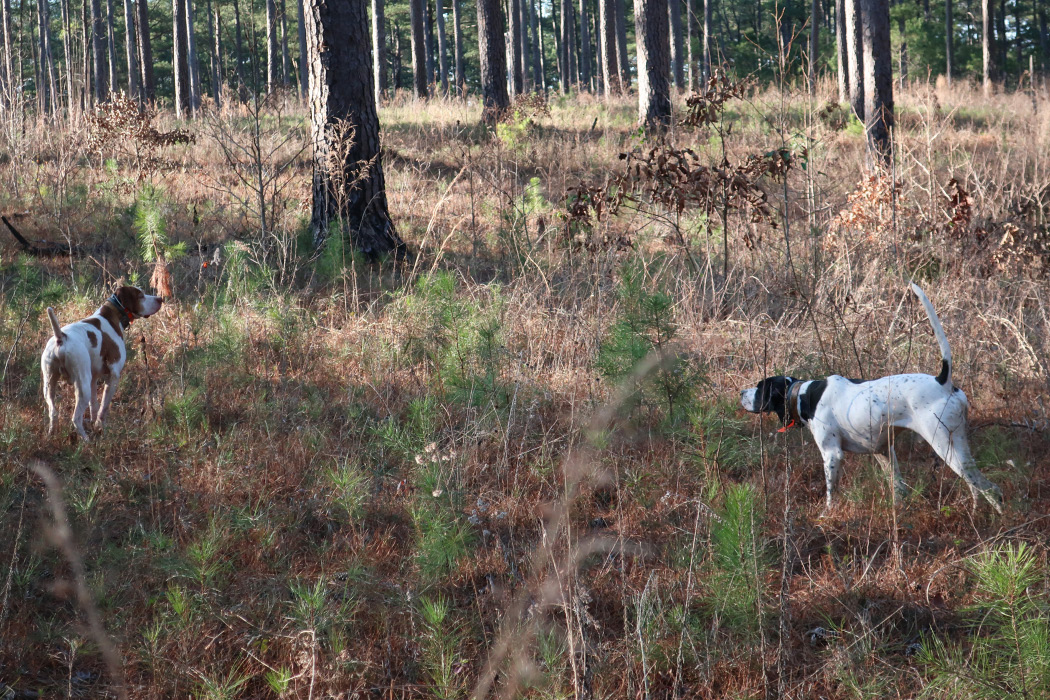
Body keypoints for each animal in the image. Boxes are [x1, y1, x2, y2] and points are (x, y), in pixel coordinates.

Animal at [42, 283, 163, 438]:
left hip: (49, 384)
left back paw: (51, 435)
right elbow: (103, 408)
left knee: (53, 413)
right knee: (75, 418)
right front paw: (101, 427)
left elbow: (94, 406)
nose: (160, 299)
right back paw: (86, 440)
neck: (113, 315)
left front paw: (95, 424)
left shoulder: (94, 378)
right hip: (82, 386)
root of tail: (61, 337)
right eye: (140, 295)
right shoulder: (113, 376)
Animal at [743, 285, 1003, 514]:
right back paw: (975, 513)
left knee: (991, 488)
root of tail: (944, 382)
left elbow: (830, 494)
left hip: (944, 445)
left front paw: (826, 515)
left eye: (759, 387)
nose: (741, 393)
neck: (804, 395)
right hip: (958, 446)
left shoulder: (832, 454)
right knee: (975, 487)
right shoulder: (883, 451)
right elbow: (899, 489)